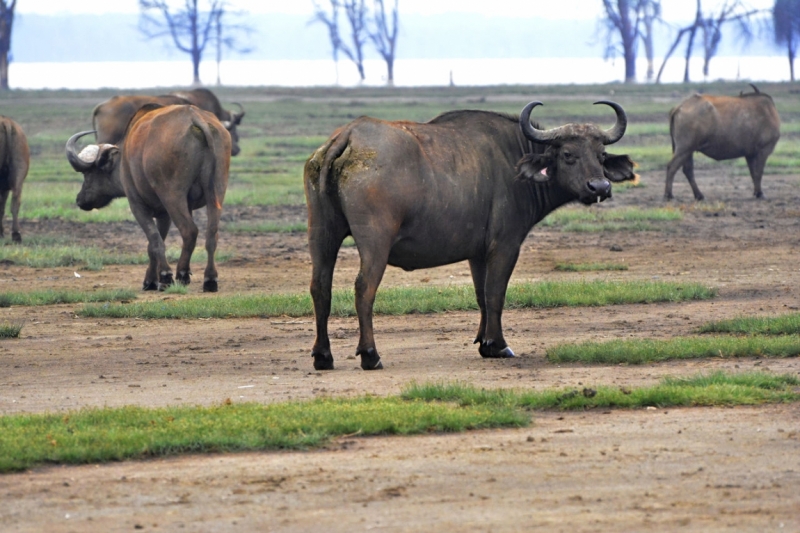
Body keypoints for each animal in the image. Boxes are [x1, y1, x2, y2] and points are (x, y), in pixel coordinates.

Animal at [67, 105, 230, 290]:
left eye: (88, 174)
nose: (80, 199)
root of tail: (194, 117)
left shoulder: (138, 205)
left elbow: (154, 241)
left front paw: (160, 278)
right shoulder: (167, 213)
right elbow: (157, 241)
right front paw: (154, 278)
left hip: (172, 197)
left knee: (189, 231)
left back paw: (180, 274)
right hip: (216, 193)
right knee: (211, 234)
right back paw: (210, 279)